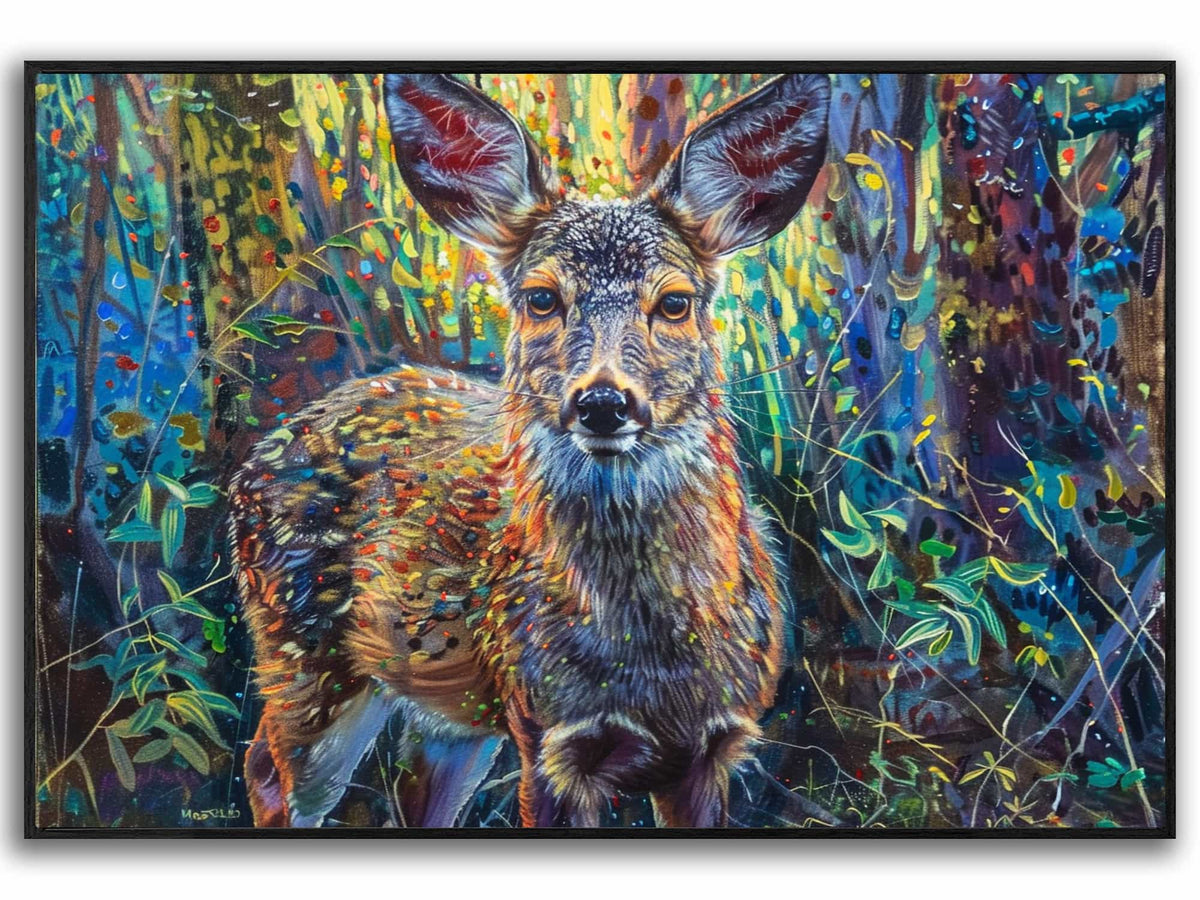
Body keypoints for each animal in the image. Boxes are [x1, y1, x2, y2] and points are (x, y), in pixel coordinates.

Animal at [230, 71, 830, 828]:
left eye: (675, 302)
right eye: (542, 298)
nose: (603, 402)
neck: (650, 661)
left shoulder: (714, 744)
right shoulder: (546, 731)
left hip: (447, 714)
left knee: (411, 792)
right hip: (302, 649)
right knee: (268, 770)